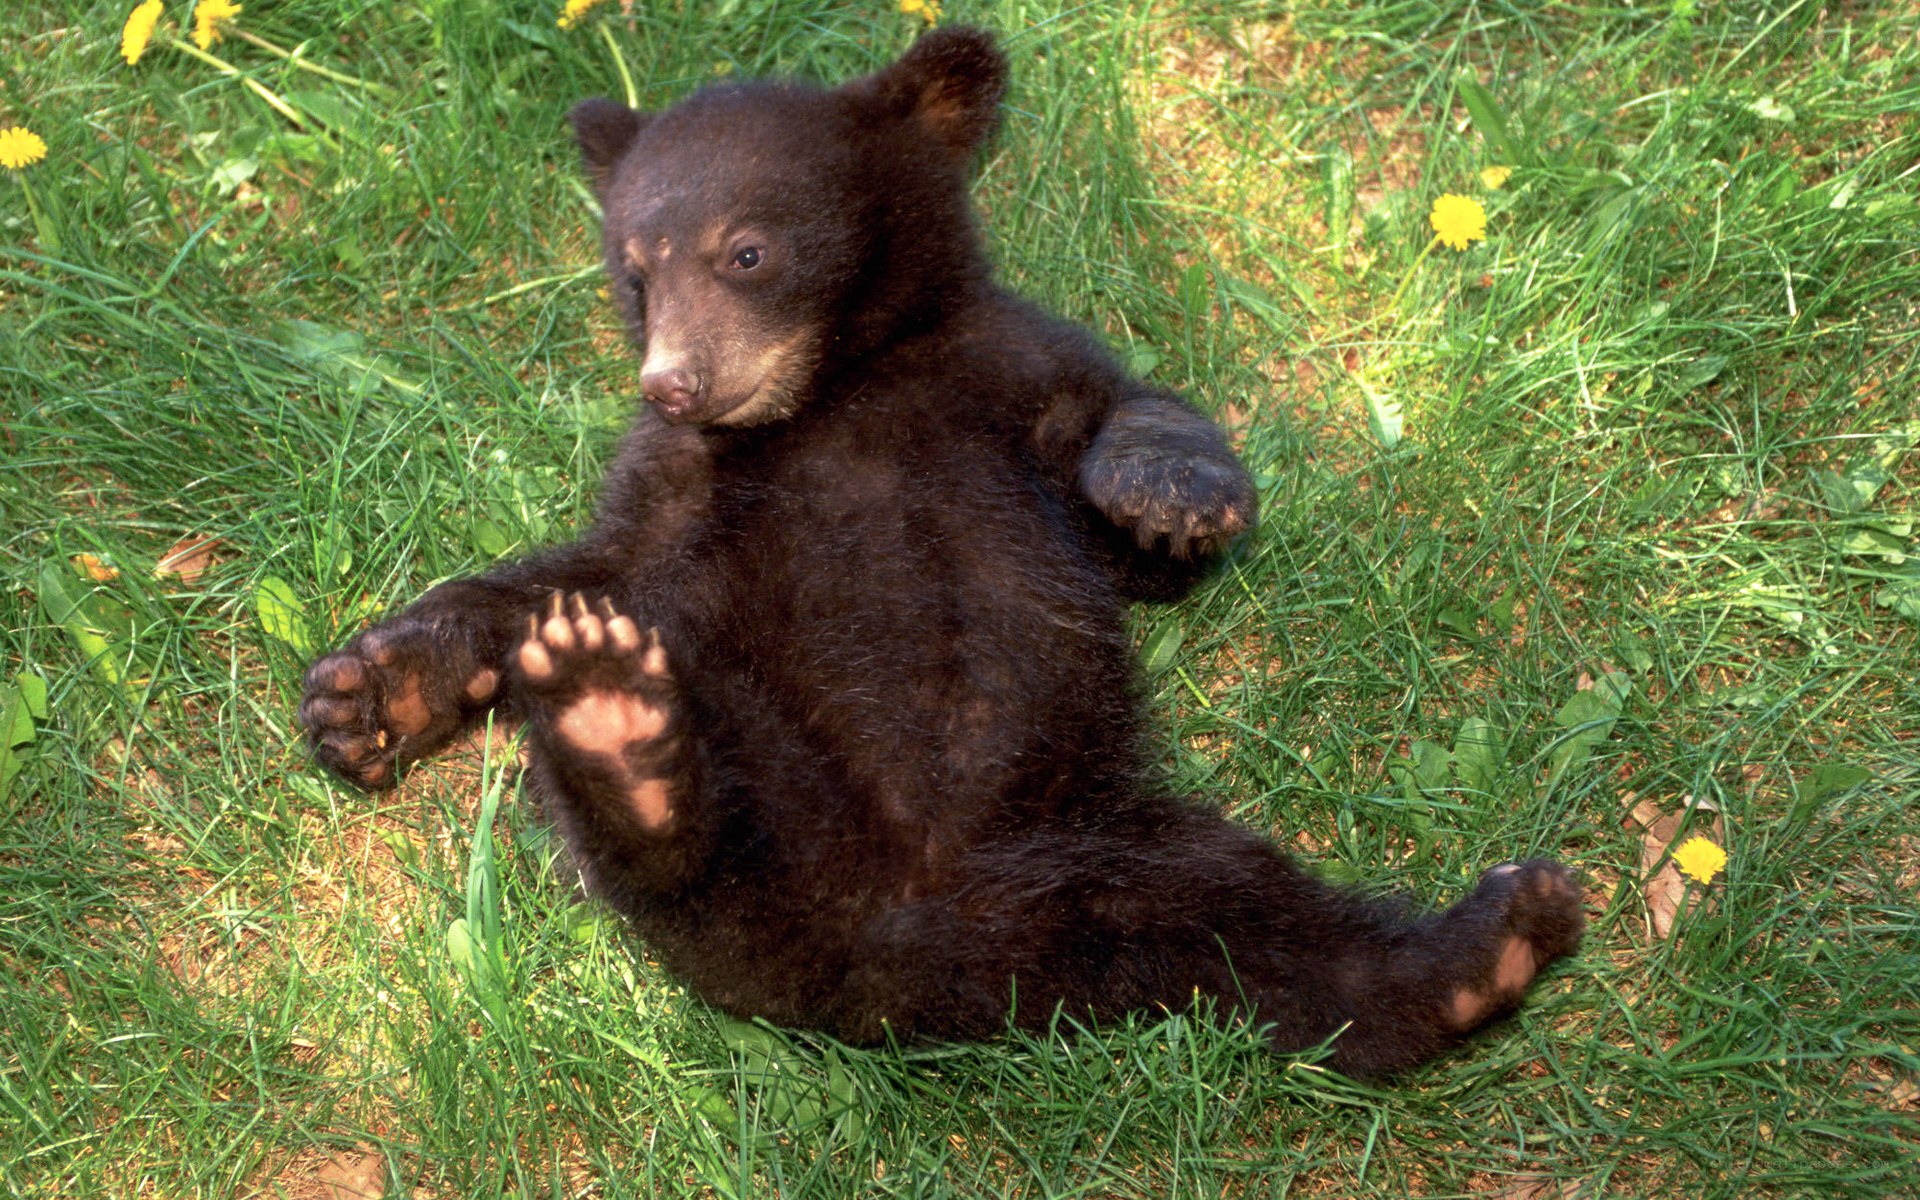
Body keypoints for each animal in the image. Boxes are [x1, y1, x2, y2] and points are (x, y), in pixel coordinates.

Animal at [297, 26, 1582, 1078]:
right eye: (634, 269)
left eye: (746, 251)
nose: (675, 382)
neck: (834, 392)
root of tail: (903, 953)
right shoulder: (669, 493)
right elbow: (576, 577)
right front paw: (371, 690)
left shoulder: (1001, 368)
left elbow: (1128, 441)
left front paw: (1169, 495)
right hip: (767, 780)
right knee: (691, 858)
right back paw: (615, 727)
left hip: (1112, 851)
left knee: (1262, 930)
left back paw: (1488, 949)